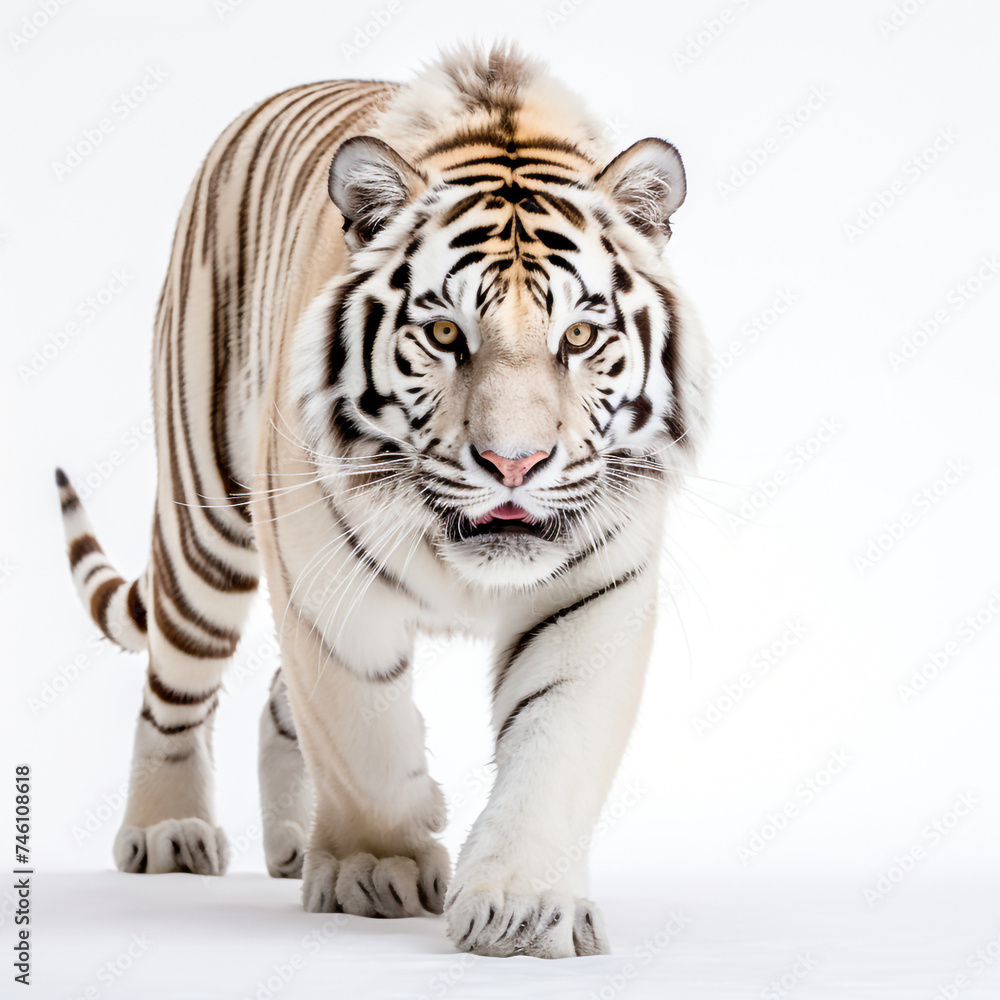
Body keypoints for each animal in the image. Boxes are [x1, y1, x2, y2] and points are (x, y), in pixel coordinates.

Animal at [55, 42, 708, 959]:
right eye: (444, 334)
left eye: (579, 336)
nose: (514, 463)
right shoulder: (321, 574)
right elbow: (360, 725)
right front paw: (378, 868)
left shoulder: (593, 588)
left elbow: (554, 743)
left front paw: (521, 909)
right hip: (206, 521)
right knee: (175, 686)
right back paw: (168, 832)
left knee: (274, 699)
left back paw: (293, 845)